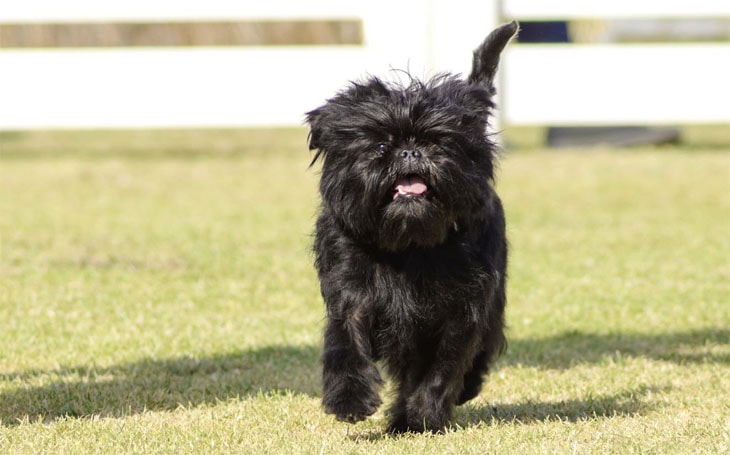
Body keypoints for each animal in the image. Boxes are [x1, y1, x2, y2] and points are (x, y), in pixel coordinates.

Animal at [304, 21, 516, 434]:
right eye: (380, 145)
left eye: (439, 142)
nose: (410, 150)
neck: (409, 245)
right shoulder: (350, 295)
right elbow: (344, 346)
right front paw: (349, 399)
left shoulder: (461, 309)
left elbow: (443, 368)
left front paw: (423, 415)